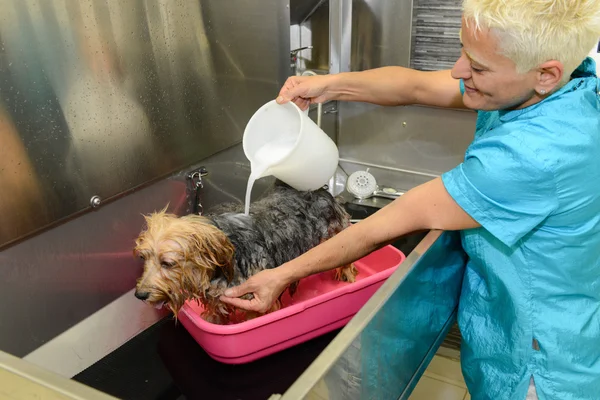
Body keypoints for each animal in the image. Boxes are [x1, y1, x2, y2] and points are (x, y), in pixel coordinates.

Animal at [132, 183, 356, 324]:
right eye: (143, 258)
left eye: (167, 263)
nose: (140, 295)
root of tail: (321, 191)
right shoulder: (215, 299)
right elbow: (215, 319)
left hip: (338, 232)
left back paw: (348, 275)